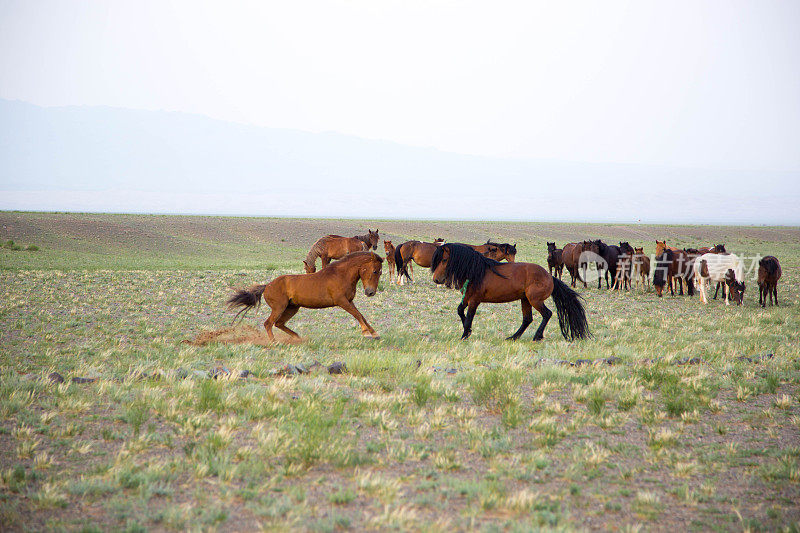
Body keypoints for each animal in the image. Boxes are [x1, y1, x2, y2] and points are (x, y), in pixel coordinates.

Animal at [228, 250, 384, 340]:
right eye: (375, 271)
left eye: (380, 272)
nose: (370, 292)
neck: (341, 275)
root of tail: (267, 286)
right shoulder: (341, 301)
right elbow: (357, 315)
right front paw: (366, 333)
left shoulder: (349, 301)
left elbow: (361, 315)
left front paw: (374, 333)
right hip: (279, 308)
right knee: (268, 323)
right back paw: (274, 342)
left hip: (292, 308)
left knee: (279, 323)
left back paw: (297, 338)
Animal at [432, 242, 588, 340]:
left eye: (444, 260)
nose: (436, 279)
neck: (476, 271)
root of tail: (550, 276)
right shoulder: (467, 298)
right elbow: (460, 311)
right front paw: (468, 332)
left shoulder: (475, 300)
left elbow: (469, 317)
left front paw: (464, 335)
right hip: (525, 300)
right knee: (527, 319)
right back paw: (513, 337)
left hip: (534, 300)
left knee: (547, 314)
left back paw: (537, 336)